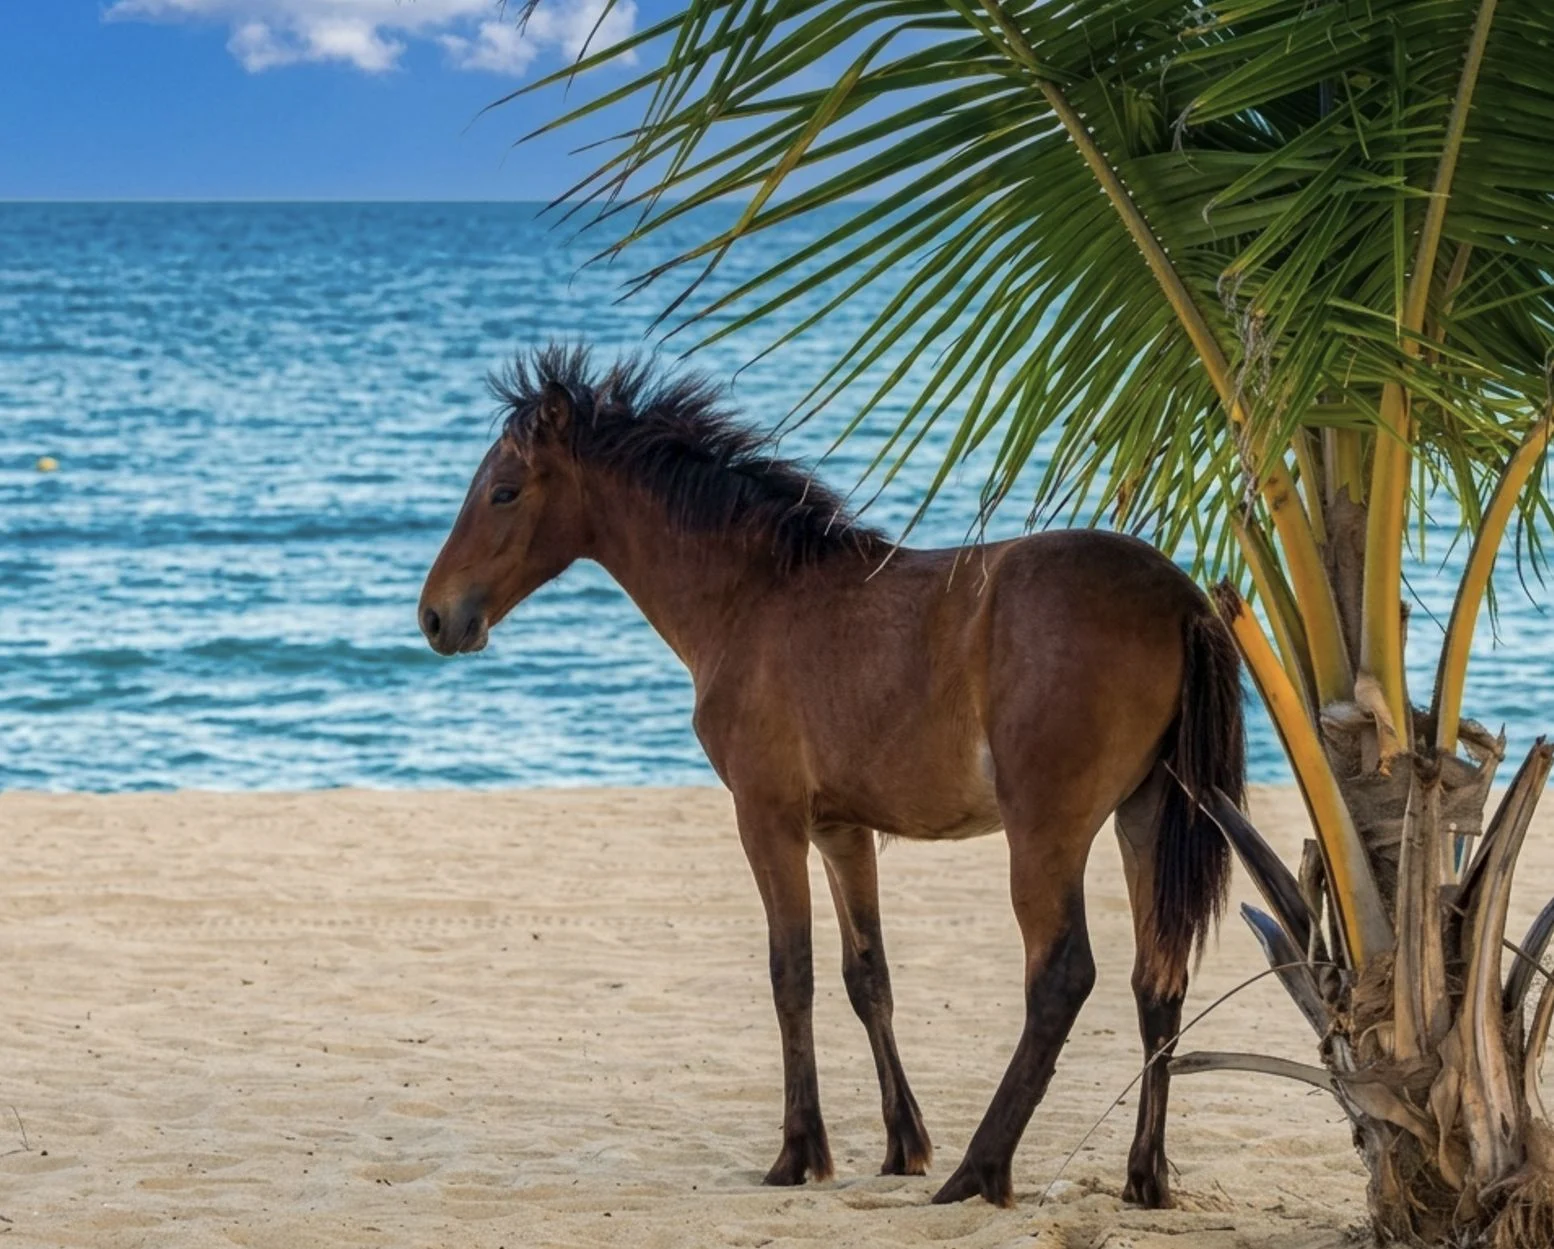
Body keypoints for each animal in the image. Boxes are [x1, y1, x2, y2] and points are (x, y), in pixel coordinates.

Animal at [417, 345, 1245, 1208]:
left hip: (1047, 831)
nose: (436, 616)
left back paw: (978, 1171)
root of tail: (1180, 598)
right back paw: (1143, 1176)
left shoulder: (767, 817)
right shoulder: (841, 829)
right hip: (1146, 816)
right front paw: (902, 1143)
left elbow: (793, 974)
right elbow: (865, 976)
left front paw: (799, 1151)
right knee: (1158, 981)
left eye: (504, 490)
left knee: (1061, 978)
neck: (756, 596)